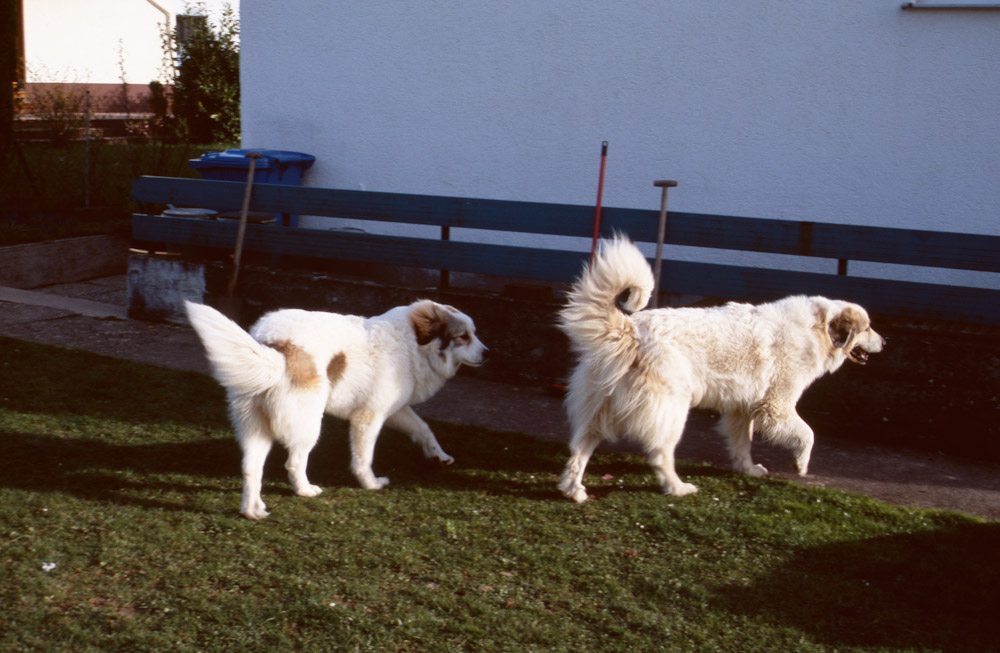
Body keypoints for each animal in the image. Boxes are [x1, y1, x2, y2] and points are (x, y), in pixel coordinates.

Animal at [188, 300, 488, 520]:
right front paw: (371, 484)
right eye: (463, 336)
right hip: (310, 425)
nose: (487, 353)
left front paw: (440, 456)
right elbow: (363, 458)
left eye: (474, 333)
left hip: (255, 429)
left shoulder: (395, 410)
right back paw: (305, 490)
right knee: (294, 462)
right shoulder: (369, 417)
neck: (413, 343)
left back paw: (253, 511)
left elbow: (424, 429)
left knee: (251, 469)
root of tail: (274, 348)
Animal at [560, 237, 888, 502]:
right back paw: (677, 488)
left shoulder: (743, 408)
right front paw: (801, 464)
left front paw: (749, 469)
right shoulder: (776, 407)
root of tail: (629, 329)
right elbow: (808, 434)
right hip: (673, 410)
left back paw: (574, 491)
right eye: (867, 328)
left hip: (599, 410)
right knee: (659, 455)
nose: (885, 342)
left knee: (580, 448)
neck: (817, 328)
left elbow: (744, 443)